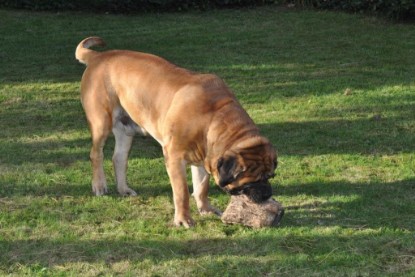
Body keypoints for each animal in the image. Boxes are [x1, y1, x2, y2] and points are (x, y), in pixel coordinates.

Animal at [76, 36, 278, 226]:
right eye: (252, 180)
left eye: (270, 176)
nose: (268, 193)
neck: (213, 119)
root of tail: (98, 57)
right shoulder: (174, 157)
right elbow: (182, 192)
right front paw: (183, 219)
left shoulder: (204, 159)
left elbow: (201, 188)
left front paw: (206, 209)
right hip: (101, 122)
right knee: (96, 154)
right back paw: (99, 186)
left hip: (127, 131)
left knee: (118, 158)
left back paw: (123, 189)